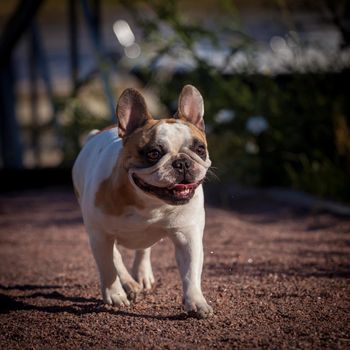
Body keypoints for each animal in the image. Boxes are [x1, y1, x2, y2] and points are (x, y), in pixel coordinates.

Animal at [72, 85, 212, 318]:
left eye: (200, 149)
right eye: (154, 153)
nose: (182, 162)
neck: (149, 202)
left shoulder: (188, 235)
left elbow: (191, 271)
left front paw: (196, 302)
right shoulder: (100, 235)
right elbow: (107, 267)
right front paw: (115, 295)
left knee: (143, 249)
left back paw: (141, 275)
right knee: (115, 258)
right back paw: (129, 285)